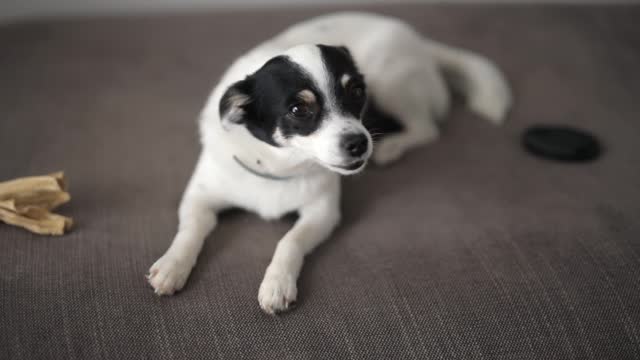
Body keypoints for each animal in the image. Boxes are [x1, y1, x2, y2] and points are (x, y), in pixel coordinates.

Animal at [145, 11, 510, 314]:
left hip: (391, 81)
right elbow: (190, 230)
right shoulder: (199, 197)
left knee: (426, 128)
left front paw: (277, 283)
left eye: (357, 92)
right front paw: (172, 265)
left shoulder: (322, 213)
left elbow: (289, 240)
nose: (360, 142)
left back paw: (391, 147)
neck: (277, 166)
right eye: (298, 109)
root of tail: (418, 39)